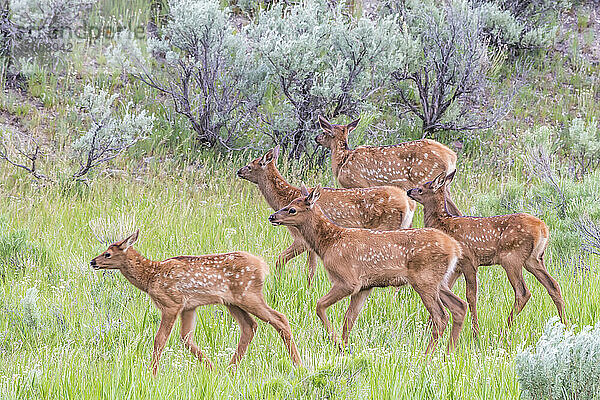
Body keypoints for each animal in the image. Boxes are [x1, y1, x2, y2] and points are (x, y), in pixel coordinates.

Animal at [88, 231, 300, 376]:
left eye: (107, 254)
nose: (92, 262)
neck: (150, 277)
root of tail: (263, 265)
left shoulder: (171, 303)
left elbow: (160, 340)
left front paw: (151, 373)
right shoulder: (189, 307)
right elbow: (185, 339)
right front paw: (211, 368)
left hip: (248, 294)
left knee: (279, 318)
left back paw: (298, 365)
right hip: (232, 302)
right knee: (250, 326)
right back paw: (230, 369)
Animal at [237, 147, 414, 284]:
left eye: (251, 165)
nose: (239, 171)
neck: (285, 197)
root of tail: (408, 202)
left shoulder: (301, 239)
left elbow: (284, 260)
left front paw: (280, 284)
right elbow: (310, 268)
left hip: (388, 227)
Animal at [268, 184, 468, 354]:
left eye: (292, 209)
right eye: (288, 204)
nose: (272, 217)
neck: (329, 243)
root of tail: (455, 248)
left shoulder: (348, 280)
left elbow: (319, 305)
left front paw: (336, 343)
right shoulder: (365, 286)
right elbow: (349, 319)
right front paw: (344, 349)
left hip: (425, 279)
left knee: (441, 316)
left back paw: (426, 356)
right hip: (438, 281)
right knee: (459, 306)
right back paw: (448, 353)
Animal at [316, 115, 462, 216]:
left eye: (324, 132)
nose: (316, 138)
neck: (343, 161)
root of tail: (451, 156)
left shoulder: (358, 183)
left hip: (428, 178)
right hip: (446, 185)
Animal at [406, 173, 564, 338]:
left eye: (421, 188)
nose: (409, 191)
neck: (444, 224)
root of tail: (543, 228)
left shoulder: (468, 261)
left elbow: (471, 296)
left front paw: (475, 333)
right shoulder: (456, 268)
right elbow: (445, 291)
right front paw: (426, 330)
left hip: (511, 257)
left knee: (523, 292)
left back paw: (503, 331)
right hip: (534, 259)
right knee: (553, 285)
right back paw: (565, 324)